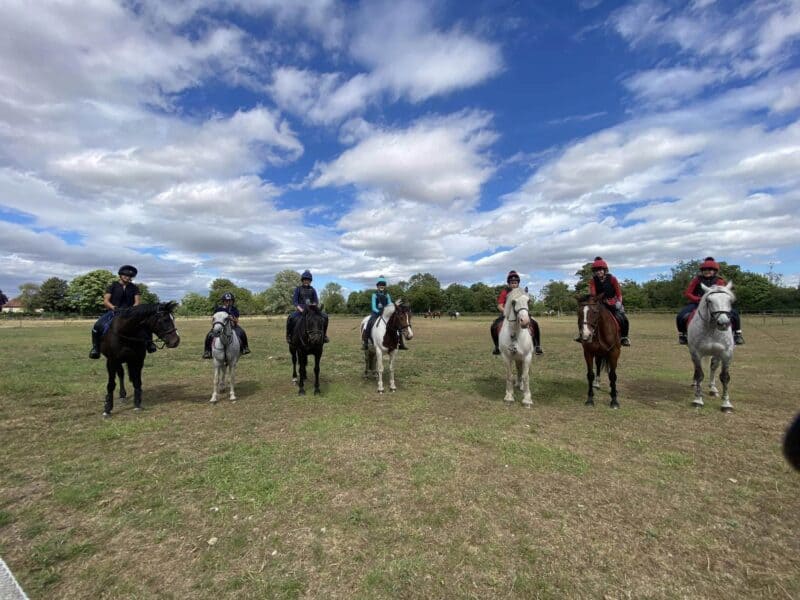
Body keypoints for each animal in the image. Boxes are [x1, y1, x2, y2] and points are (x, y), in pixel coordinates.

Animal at [688, 282, 736, 412]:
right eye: (709, 301)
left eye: (730, 300)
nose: (723, 323)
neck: (712, 330)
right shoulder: (696, 353)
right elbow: (699, 374)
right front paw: (698, 400)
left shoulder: (726, 354)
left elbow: (725, 377)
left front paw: (726, 404)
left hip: (717, 354)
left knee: (713, 367)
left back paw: (713, 389)